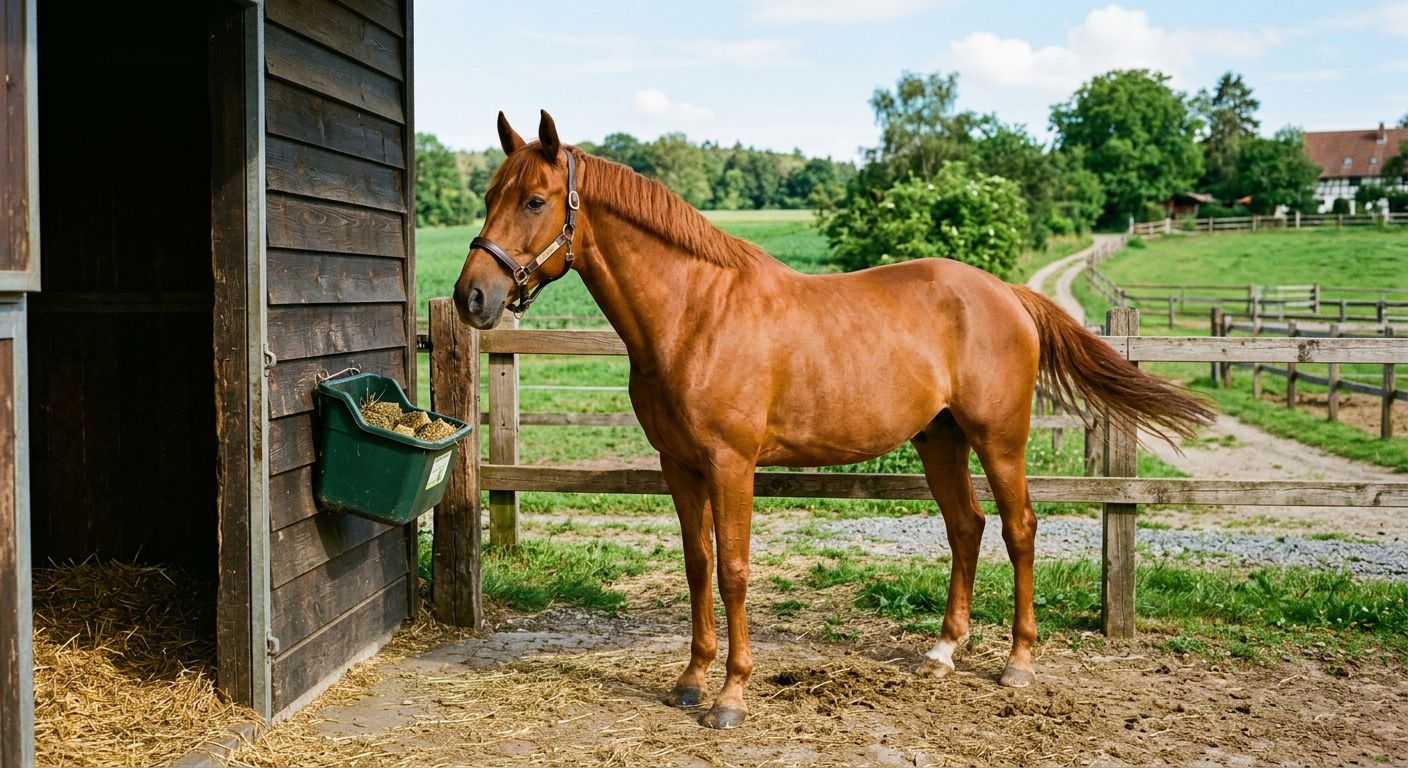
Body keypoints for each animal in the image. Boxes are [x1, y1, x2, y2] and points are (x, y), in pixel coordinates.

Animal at [453, 110, 1214, 729]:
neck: (695, 312)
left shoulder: (731, 464)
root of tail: (1007, 293)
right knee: (966, 527)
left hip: (999, 440)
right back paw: (942, 650)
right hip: (938, 439)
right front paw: (691, 680)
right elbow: (698, 565)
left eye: (534, 200)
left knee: (1019, 528)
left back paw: (1018, 662)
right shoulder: (679, 465)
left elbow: (733, 570)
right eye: (488, 197)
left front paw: (731, 695)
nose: (472, 297)